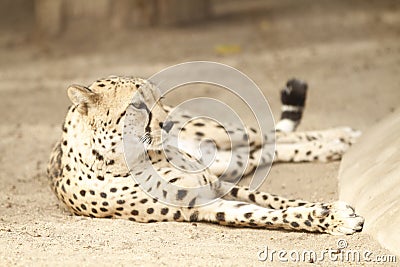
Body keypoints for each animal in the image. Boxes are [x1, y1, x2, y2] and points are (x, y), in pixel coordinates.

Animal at [46, 76, 362, 236]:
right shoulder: (203, 205)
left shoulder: (218, 183)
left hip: (216, 132)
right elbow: (270, 213)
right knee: (257, 151)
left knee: (268, 135)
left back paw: (340, 138)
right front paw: (332, 219)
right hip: (223, 159)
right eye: (137, 105)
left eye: (160, 98)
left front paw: (331, 209)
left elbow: (279, 201)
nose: (169, 122)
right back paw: (335, 144)